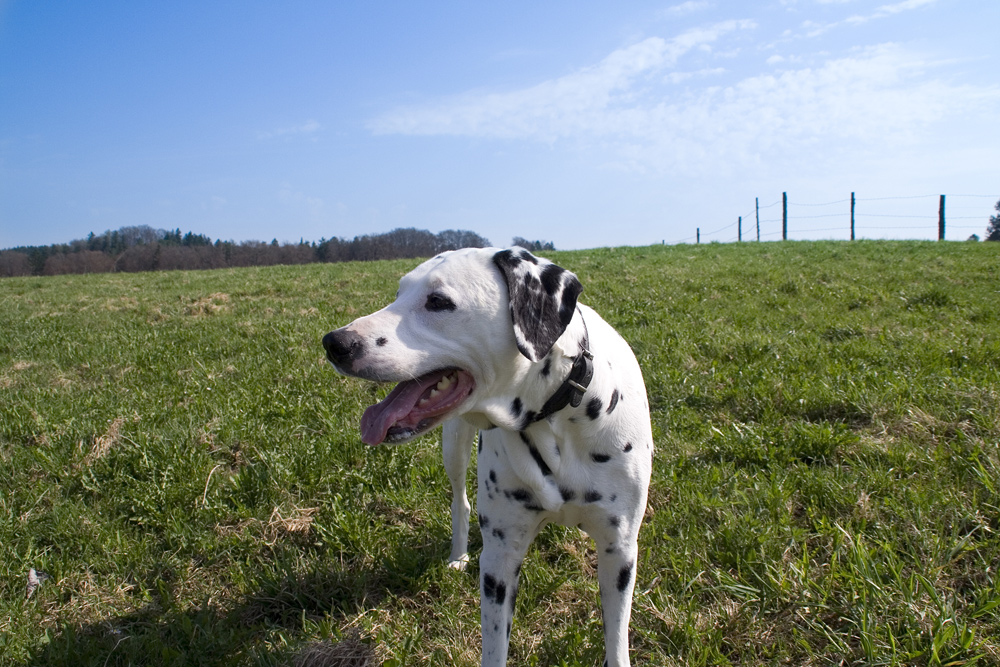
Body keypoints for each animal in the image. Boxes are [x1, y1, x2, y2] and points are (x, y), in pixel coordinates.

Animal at [324, 247, 656, 667]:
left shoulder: (620, 552)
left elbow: (616, 639)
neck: (554, 414)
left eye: (438, 301)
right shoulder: (500, 559)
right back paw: (458, 554)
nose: (334, 343)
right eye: (399, 293)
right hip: (454, 446)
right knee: (459, 502)